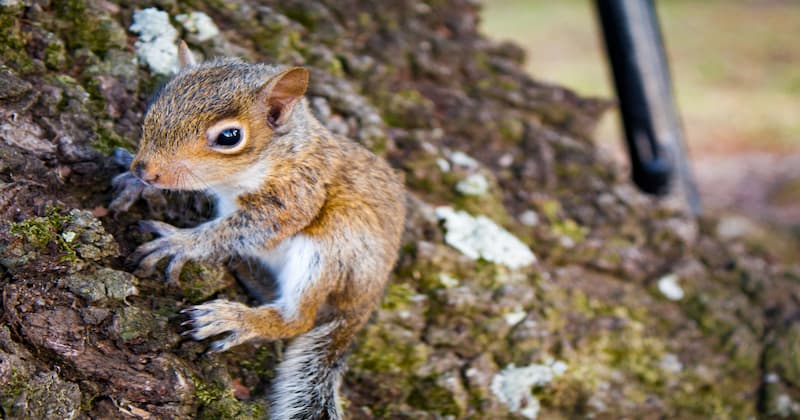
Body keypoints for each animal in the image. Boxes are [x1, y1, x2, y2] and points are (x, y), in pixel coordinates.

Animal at [117, 41, 406, 418]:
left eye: (229, 137)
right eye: (158, 98)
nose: (144, 170)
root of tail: (363, 305)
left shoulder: (297, 195)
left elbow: (243, 228)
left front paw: (182, 242)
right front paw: (134, 181)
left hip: (331, 248)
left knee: (298, 320)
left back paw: (235, 318)